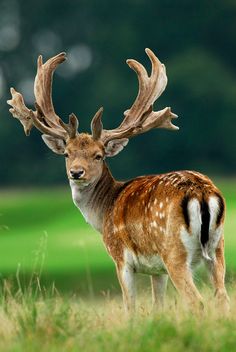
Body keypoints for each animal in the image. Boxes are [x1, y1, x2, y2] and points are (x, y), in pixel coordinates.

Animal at [7, 47, 229, 314]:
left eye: (98, 155)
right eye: (67, 153)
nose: (76, 172)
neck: (103, 213)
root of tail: (202, 194)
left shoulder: (121, 257)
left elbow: (129, 307)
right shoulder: (157, 270)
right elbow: (158, 306)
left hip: (174, 251)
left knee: (197, 301)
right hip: (218, 248)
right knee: (223, 297)